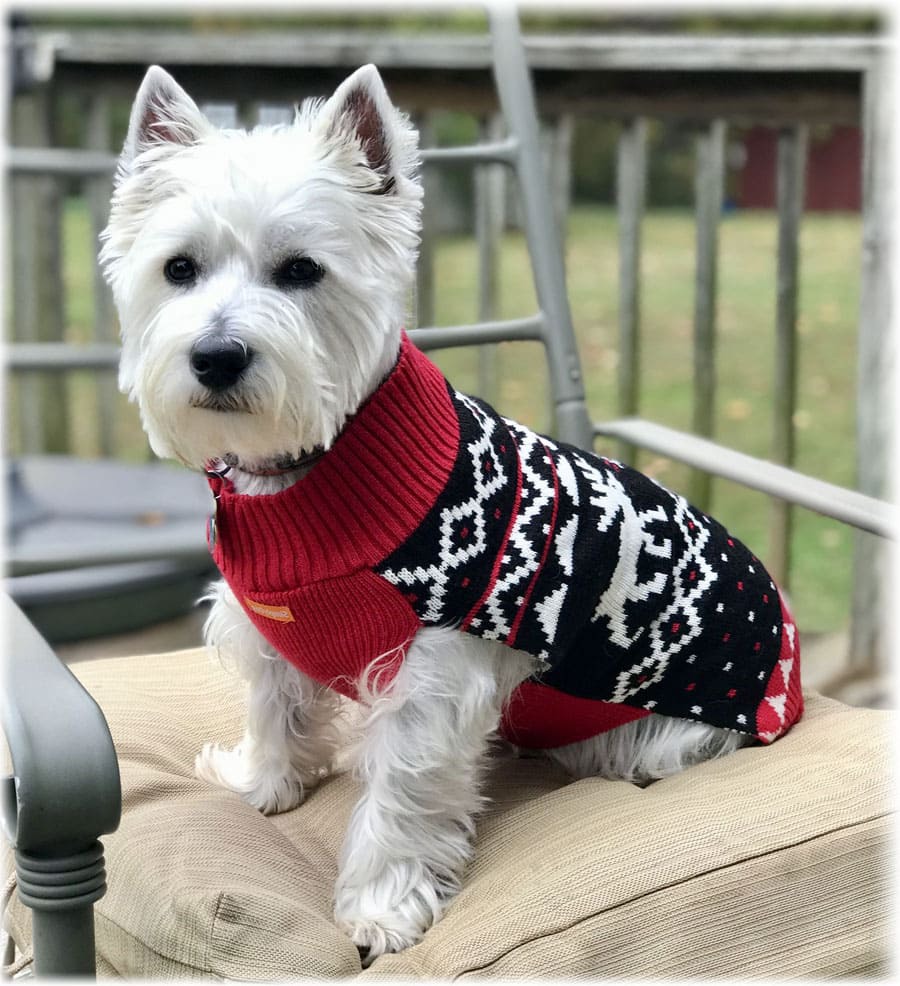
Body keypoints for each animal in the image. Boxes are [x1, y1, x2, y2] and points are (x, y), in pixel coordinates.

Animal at [101, 63, 803, 961]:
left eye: (301, 271)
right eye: (179, 268)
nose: (217, 357)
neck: (308, 468)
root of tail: (789, 666)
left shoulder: (433, 674)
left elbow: (400, 795)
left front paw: (380, 907)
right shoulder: (269, 630)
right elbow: (276, 710)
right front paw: (264, 785)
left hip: (667, 722)